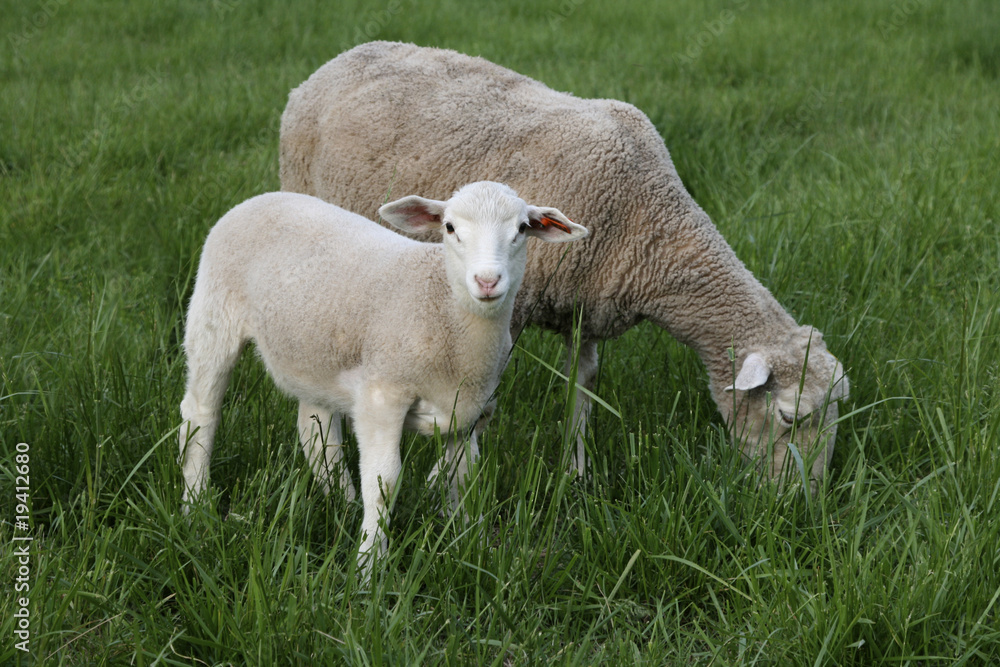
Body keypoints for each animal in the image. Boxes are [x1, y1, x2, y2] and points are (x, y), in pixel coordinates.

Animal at [178, 182, 589, 570]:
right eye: (450, 227)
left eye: (521, 228)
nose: (487, 281)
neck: (447, 313)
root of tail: (263, 197)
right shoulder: (382, 394)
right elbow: (384, 481)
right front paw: (368, 567)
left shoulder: (468, 411)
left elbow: (464, 476)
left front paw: (468, 544)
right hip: (213, 317)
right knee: (201, 415)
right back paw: (195, 506)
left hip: (314, 352)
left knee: (316, 432)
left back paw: (342, 502)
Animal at [278, 41, 850, 490]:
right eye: (788, 416)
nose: (804, 501)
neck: (652, 226)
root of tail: (340, 58)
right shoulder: (512, 308)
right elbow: (483, 403)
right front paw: (452, 480)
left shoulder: (589, 312)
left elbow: (583, 389)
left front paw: (574, 474)